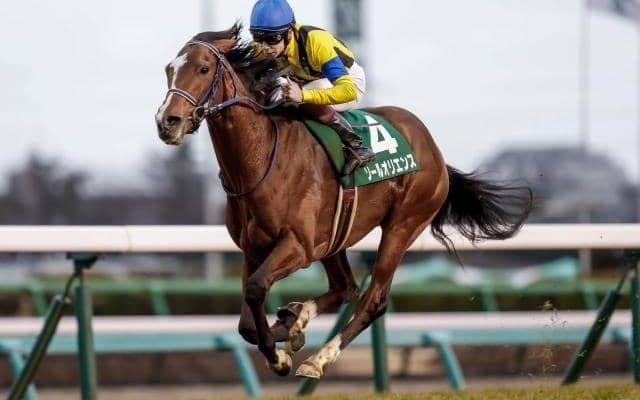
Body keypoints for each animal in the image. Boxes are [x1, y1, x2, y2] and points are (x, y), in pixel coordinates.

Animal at [155, 24, 532, 379]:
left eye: (203, 68)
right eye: (168, 69)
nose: (167, 121)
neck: (260, 164)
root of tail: (434, 150)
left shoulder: (298, 246)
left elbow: (257, 288)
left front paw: (280, 357)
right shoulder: (254, 248)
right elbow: (247, 321)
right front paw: (287, 330)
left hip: (403, 224)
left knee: (371, 300)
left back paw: (317, 359)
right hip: (334, 239)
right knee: (345, 287)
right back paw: (296, 319)